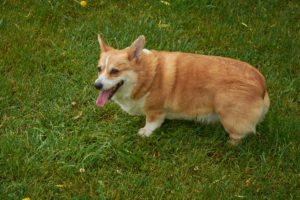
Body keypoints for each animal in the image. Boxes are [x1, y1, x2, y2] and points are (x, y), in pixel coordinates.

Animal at [94, 34, 270, 144]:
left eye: (114, 71)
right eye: (99, 69)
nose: (97, 85)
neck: (145, 76)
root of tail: (262, 86)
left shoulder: (155, 110)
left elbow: (151, 123)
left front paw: (144, 132)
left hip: (229, 116)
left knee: (238, 136)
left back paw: (229, 145)